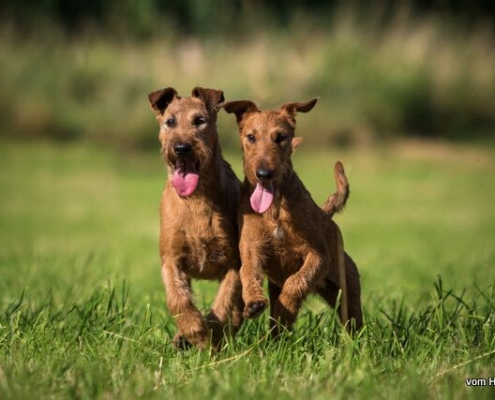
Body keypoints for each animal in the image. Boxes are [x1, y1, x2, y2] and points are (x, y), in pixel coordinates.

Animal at [149, 87, 246, 350]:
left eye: (199, 120)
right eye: (170, 121)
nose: (182, 147)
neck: (195, 200)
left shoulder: (234, 263)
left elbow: (223, 304)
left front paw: (208, 336)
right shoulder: (171, 260)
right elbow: (178, 299)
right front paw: (193, 329)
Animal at [223, 98, 362, 336]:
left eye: (281, 137)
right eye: (251, 137)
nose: (264, 174)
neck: (275, 208)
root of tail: (326, 215)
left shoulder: (318, 255)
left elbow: (296, 281)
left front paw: (286, 304)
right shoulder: (251, 248)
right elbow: (248, 273)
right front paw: (253, 302)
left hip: (347, 289)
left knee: (354, 321)